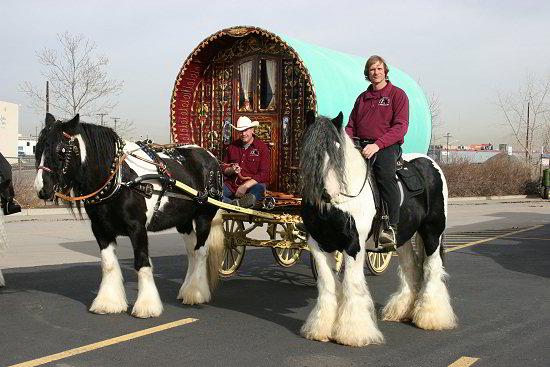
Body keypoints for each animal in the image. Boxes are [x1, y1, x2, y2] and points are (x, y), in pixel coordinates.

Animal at [34, 115, 225, 320]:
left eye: (61, 151)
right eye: (37, 148)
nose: (41, 189)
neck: (119, 179)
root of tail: (210, 156)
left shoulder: (137, 228)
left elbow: (142, 263)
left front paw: (147, 307)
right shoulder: (100, 229)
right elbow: (108, 264)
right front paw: (108, 303)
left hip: (204, 216)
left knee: (201, 251)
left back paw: (196, 293)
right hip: (183, 221)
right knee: (191, 252)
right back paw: (186, 290)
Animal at [300, 112, 460, 348]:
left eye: (337, 148)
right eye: (309, 149)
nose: (329, 193)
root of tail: (430, 163)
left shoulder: (353, 246)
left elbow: (351, 284)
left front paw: (353, 333)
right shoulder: (318, 244)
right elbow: (327, 284)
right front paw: (321, 329)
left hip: (433, 231)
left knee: (432, 267)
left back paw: (431, 317)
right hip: (402, 237)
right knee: (410, 266)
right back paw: (402, 310)